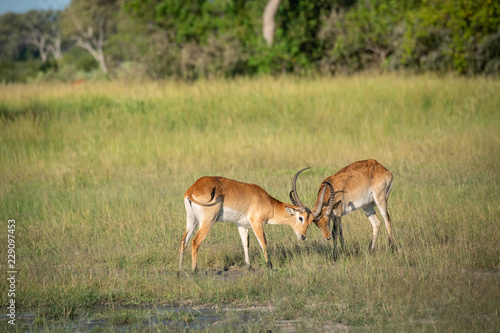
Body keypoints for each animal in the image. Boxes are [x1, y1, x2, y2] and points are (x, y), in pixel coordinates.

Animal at [178, 169, 334, 270]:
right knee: (195, 241)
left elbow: (245, 244)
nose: (303, 236)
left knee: (184, 240)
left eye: (310, 222)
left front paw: (249, 266)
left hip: (191, 220)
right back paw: (195, 270)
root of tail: (192, 189)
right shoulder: (257, 223)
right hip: (207, 221)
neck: (266, 202)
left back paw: (180, 270)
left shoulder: (242, 225)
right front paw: (270, 266)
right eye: (300, 218)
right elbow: (263, 243)